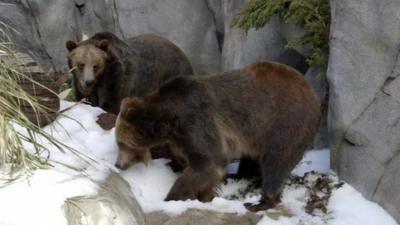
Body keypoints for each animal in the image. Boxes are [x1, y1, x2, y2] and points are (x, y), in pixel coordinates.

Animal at [66, 31, 194, 114]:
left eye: (95, 66)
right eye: (81, 64)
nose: (89, 81)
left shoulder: (116, 81)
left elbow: (112, 105)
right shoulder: (80, 85)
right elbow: (84, 99)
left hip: (172, 72)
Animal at [114, 61, 320, 211]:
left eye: (120, 143)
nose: (118, 164)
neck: (169, 119)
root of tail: (311, 92)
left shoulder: (197, 122)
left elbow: (208, 163)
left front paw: (172, 197)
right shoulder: (181, 136)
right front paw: (205, 194)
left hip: (281, 123)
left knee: (276, 162)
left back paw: (260, 202)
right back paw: (240, 176)